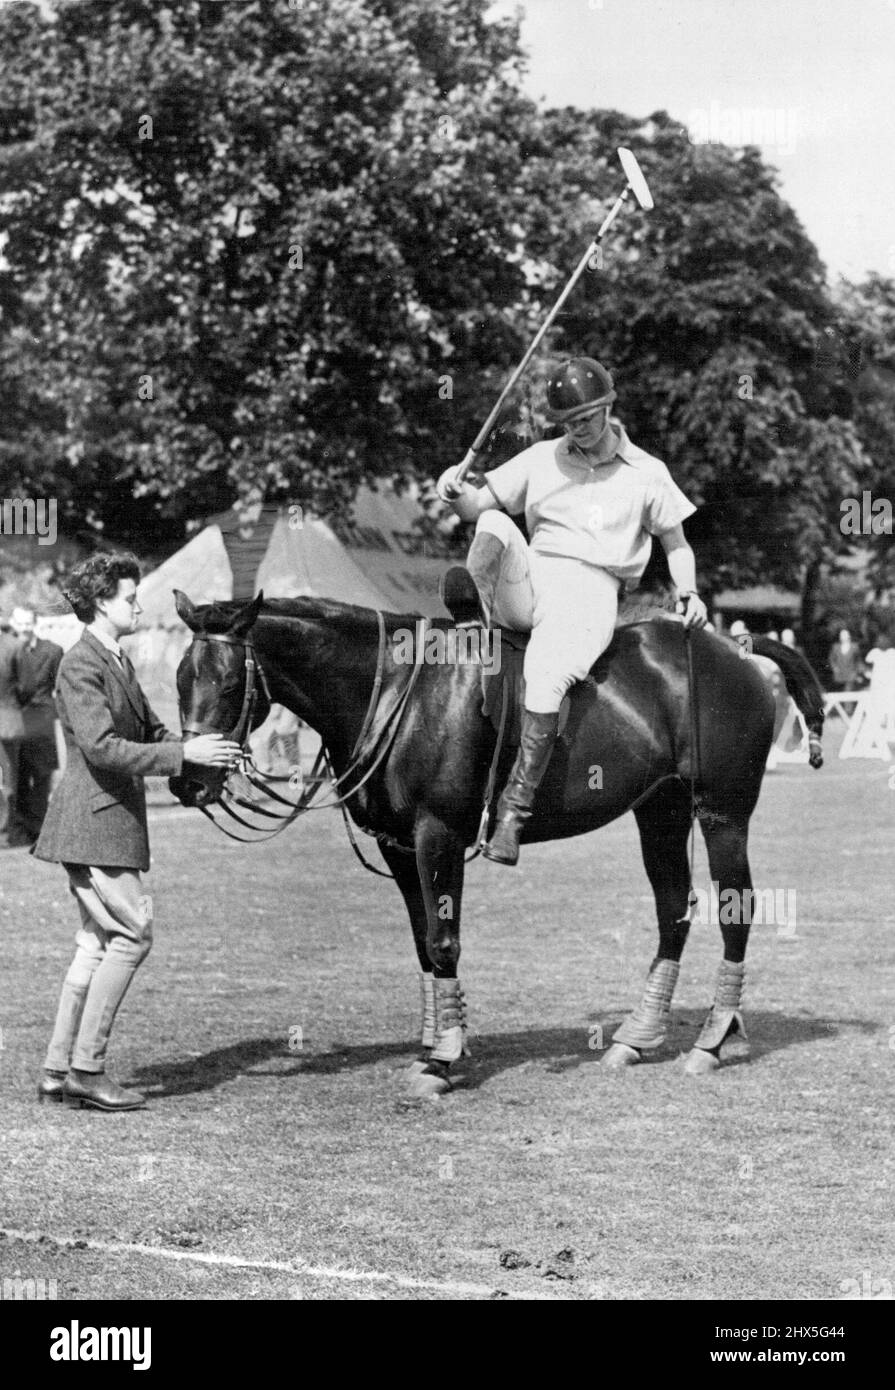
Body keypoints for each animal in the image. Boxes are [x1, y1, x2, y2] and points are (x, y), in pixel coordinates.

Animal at [169, 592, 822, 1089]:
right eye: (179, 681)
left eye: (227, 684)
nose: (187, 780)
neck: (398, 692)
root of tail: (737, 648)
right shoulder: (398, 846)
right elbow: (423, 944)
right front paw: (435, 1041)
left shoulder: (437, 834)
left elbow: (444, 941)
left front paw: (443, 1057)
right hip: (659, 810)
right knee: (673, 911)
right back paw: (636, 1038)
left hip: (722, 811)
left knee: (737, 908)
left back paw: (712, 1038)